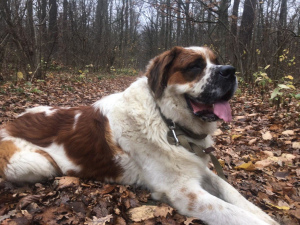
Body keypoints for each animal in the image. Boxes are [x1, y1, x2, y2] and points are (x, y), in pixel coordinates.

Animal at [0, 46, 278, 224]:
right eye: (195, 67)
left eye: (216, 61)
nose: (230, 71)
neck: (168, 123)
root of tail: (10, 123)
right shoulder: (184, 192)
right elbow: (237, 214)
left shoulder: (198, 169)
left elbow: (234, 194)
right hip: (37, 163)